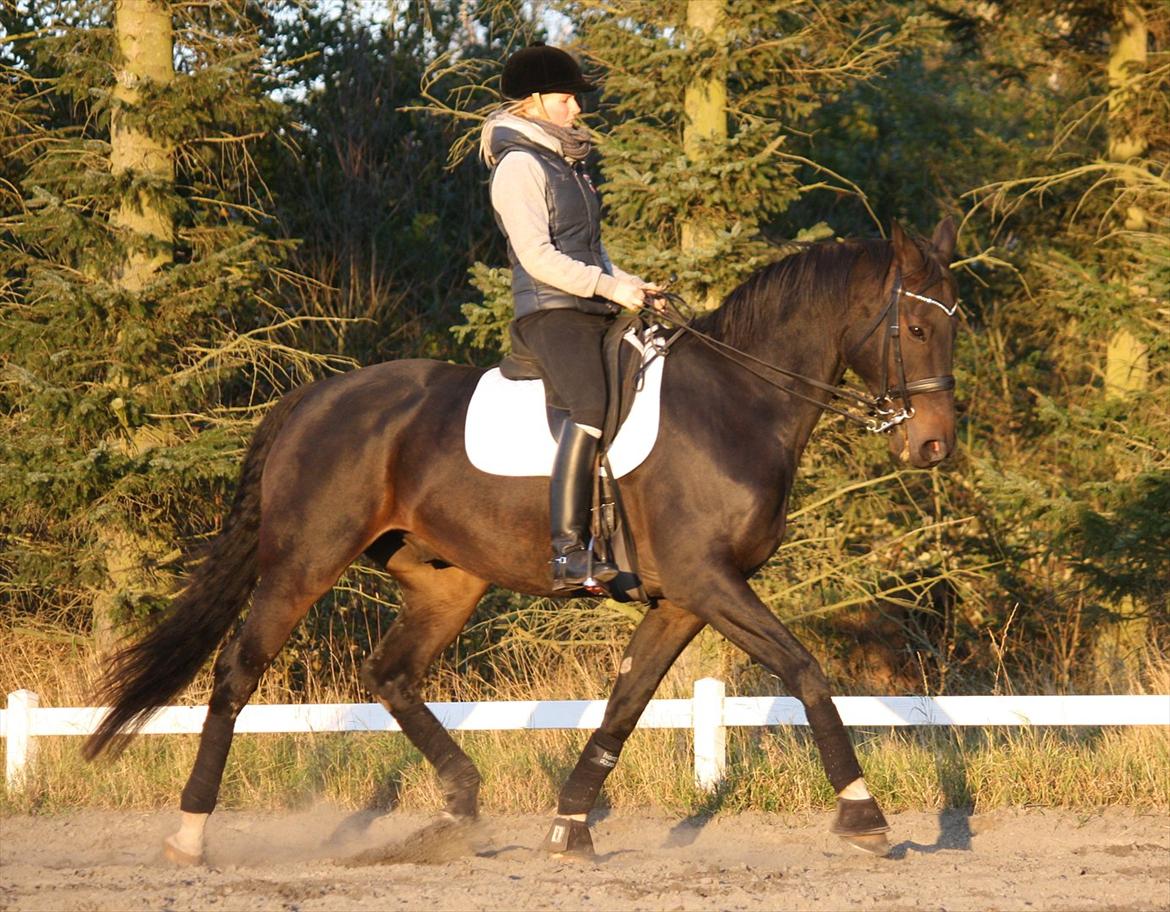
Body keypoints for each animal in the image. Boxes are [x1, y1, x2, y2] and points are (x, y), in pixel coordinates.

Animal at [82, 215, 959, 861]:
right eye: (917, 327)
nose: (933, 446)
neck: (736, 402)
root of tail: (316, 397)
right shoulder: (710, 581)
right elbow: (806, 671)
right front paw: (865, 815)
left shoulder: (683, 598)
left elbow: (626, 703)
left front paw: (569, 827)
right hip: (303, 563)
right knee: (237, 672)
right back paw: (191, 835)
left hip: (446, 580)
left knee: (391, 675)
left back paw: (458, 811)